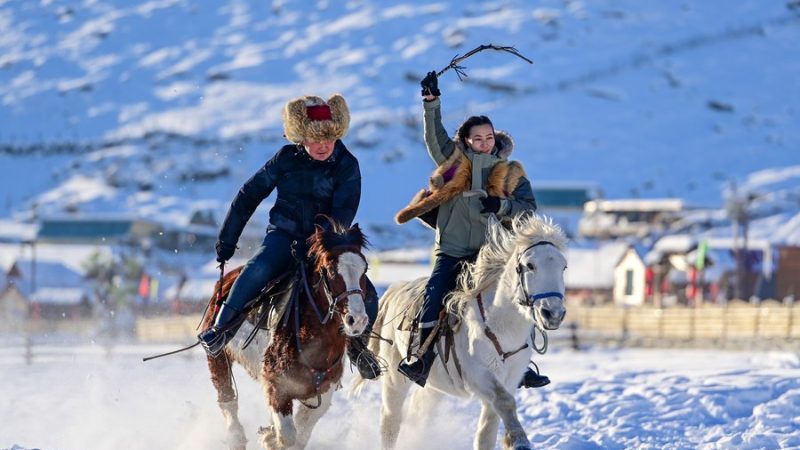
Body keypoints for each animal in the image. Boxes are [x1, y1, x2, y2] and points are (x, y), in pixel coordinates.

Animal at [203, 223, 372, 448]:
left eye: (365, 269)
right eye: (331, 270)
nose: (358, 319)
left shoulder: (321, 395)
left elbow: (300, 436)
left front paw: (269, 435)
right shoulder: (277, 386)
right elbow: (288, 435)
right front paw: (270, 438)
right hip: (218, 357)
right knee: (227, 399)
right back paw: (235, 436)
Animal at [354, 215, 564, 450]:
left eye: (564, 267)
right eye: (530, 265)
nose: (553, 313)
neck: (501, 326)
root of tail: (396, 289)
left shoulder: (509, 380)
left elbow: (487, 433)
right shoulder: (478, 375)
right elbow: (505, 402)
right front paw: (519, 441)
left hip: (434, 385)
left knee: (419, 410)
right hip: (394, 378)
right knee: (391, 420)